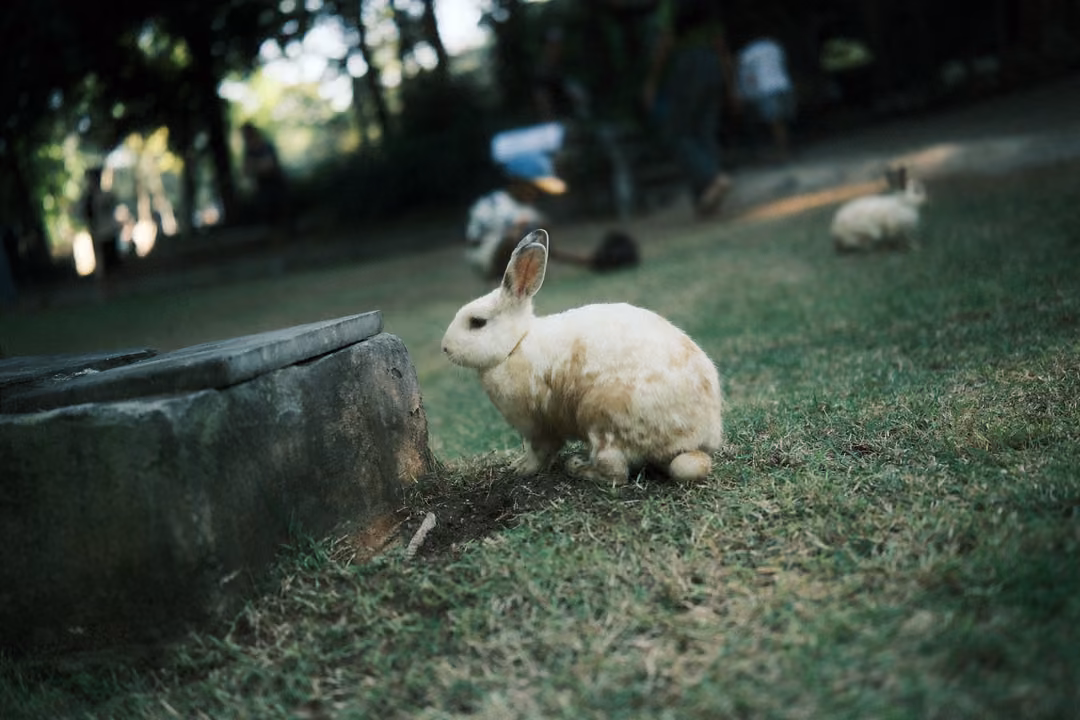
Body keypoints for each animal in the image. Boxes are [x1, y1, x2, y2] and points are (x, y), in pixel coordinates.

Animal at [441, 228, 724, 486]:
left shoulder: (538, 425)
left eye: (477, 322)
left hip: (601, 418)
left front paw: (521, 468)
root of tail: (696, 438)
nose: (445, 348)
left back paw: (577, 467)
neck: (516, 344)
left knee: (616, 474)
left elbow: (540, 451)